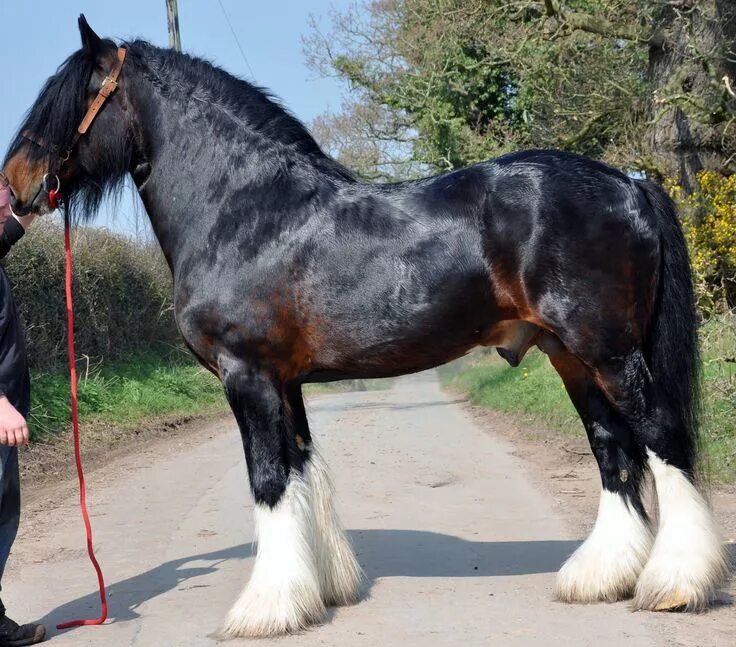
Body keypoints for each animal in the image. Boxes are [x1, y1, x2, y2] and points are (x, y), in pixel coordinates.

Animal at [1, 19, 732, 636]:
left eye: (69, 101)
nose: (14, 188)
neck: (246, 210)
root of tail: (629, 183)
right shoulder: (283, 382)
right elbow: (301, 474)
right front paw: (319, 591)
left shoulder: (248, 376)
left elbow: (269, 480)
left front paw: (265, 609)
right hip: (571, 357)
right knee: (614, 450)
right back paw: (599, 576)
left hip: (607, 350)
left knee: (663, 438)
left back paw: (674, 583)